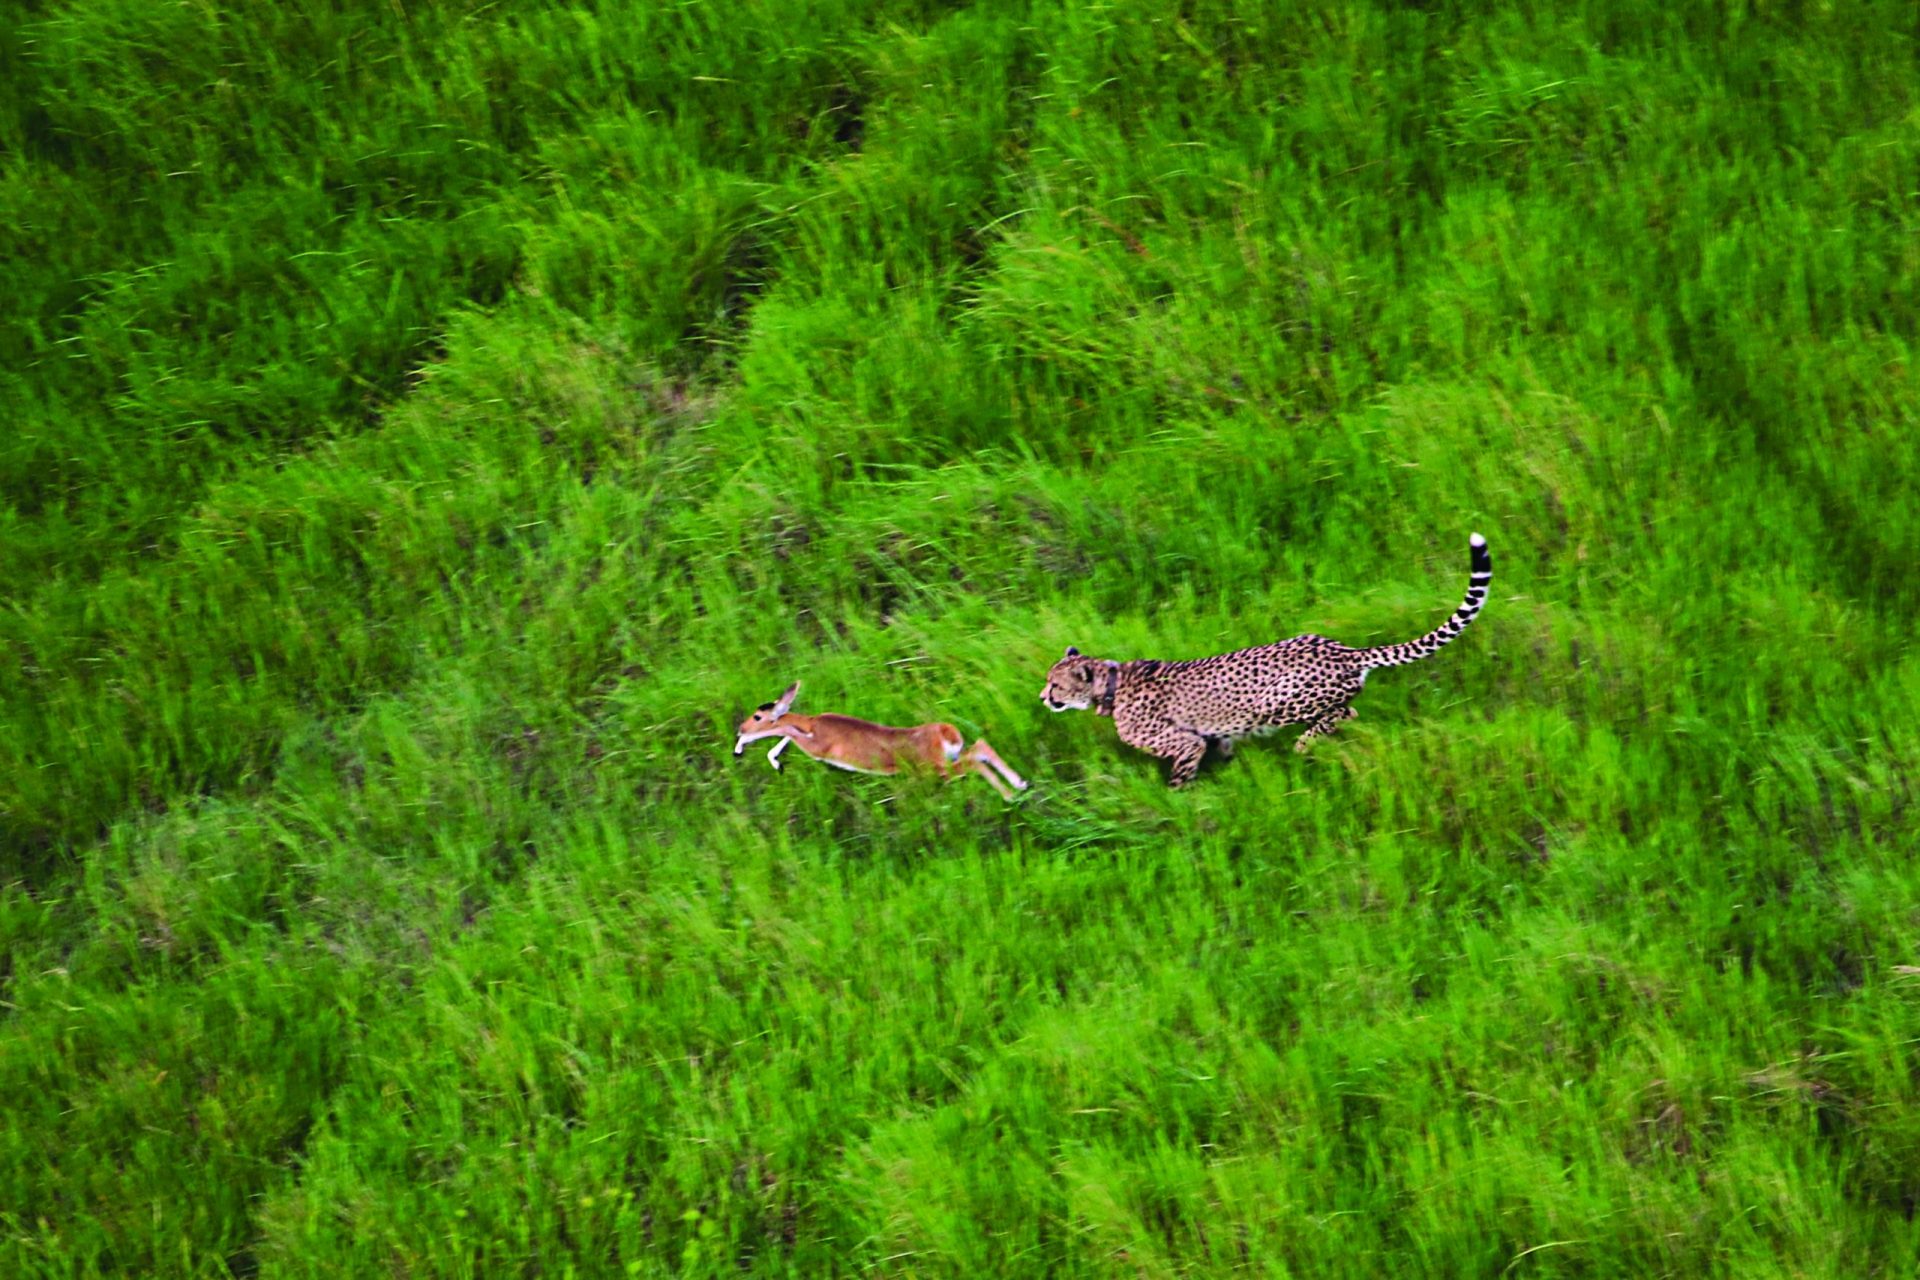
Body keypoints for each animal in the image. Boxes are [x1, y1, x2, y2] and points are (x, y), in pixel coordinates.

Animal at [733, 687, 1036, 794]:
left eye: (757, 715)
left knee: (975, 762)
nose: (739, 727)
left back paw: (1010, 794)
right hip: (949, 759)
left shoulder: (817, 747)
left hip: (935, 768)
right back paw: (1020, 785)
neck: (811, 723)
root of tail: (946, 731)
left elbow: (785, 731)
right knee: (981, 747)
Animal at [1044, 533, 1489, 790]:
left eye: (1055, 684)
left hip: (1274, 702)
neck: (1111, 685)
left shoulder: (1185, 742)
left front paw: (1180, 808)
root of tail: (1342, 648)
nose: (1043, 698)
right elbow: (1221, 753)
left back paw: (1304, 744)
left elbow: (1180, 779)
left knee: (1347, 711)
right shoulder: (1213, 737)